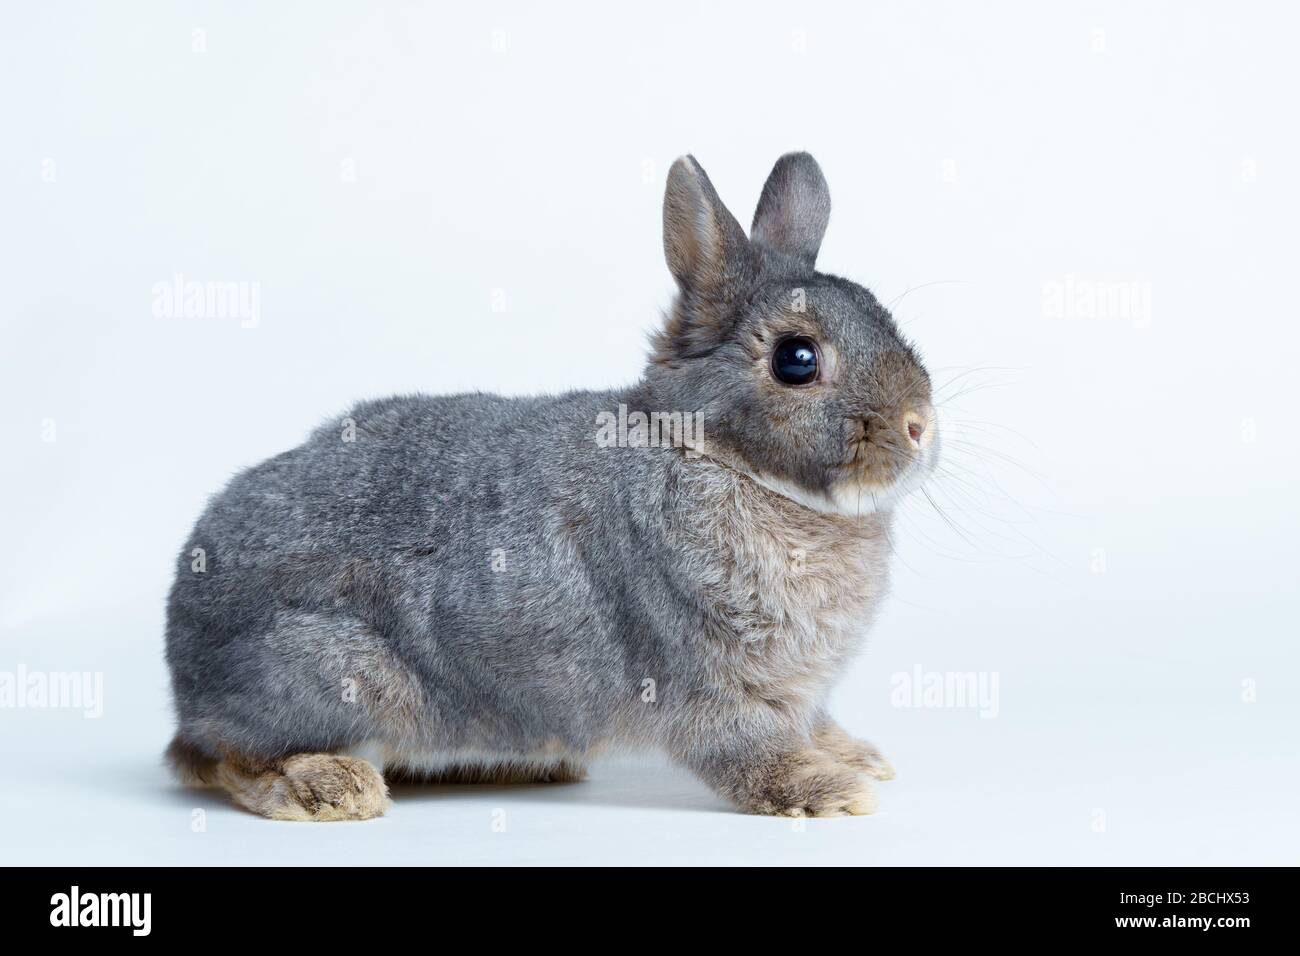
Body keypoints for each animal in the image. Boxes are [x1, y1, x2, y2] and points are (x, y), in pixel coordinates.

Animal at [164, 152, 939, 820]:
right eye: (796, 359)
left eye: (882, 315)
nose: (919, 426)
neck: (714, 455)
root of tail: (182, 671)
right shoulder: (707, 682)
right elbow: (750, 752)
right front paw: (831, 790)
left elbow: (814, 722)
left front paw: (859, 758)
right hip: (339, 676)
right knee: (222, 761)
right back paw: (330, 787)